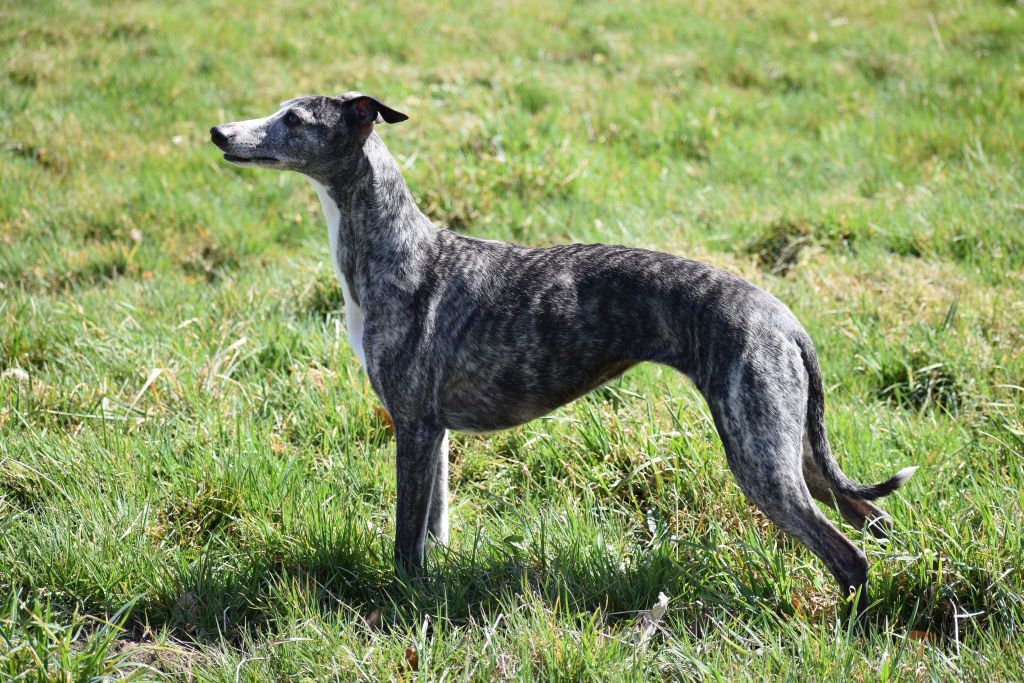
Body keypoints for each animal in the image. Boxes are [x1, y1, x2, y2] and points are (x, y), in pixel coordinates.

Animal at [211, 92, 917, 614]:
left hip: (762, 460)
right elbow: (434, 529)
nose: (218, 132)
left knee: (849, 555)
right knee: (872, 519)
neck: (402, 249)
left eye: (295, 119)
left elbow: (406, 542)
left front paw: (399, 605)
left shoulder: (411, 426)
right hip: (799, 452)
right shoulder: (433, 432)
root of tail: (785, 319)